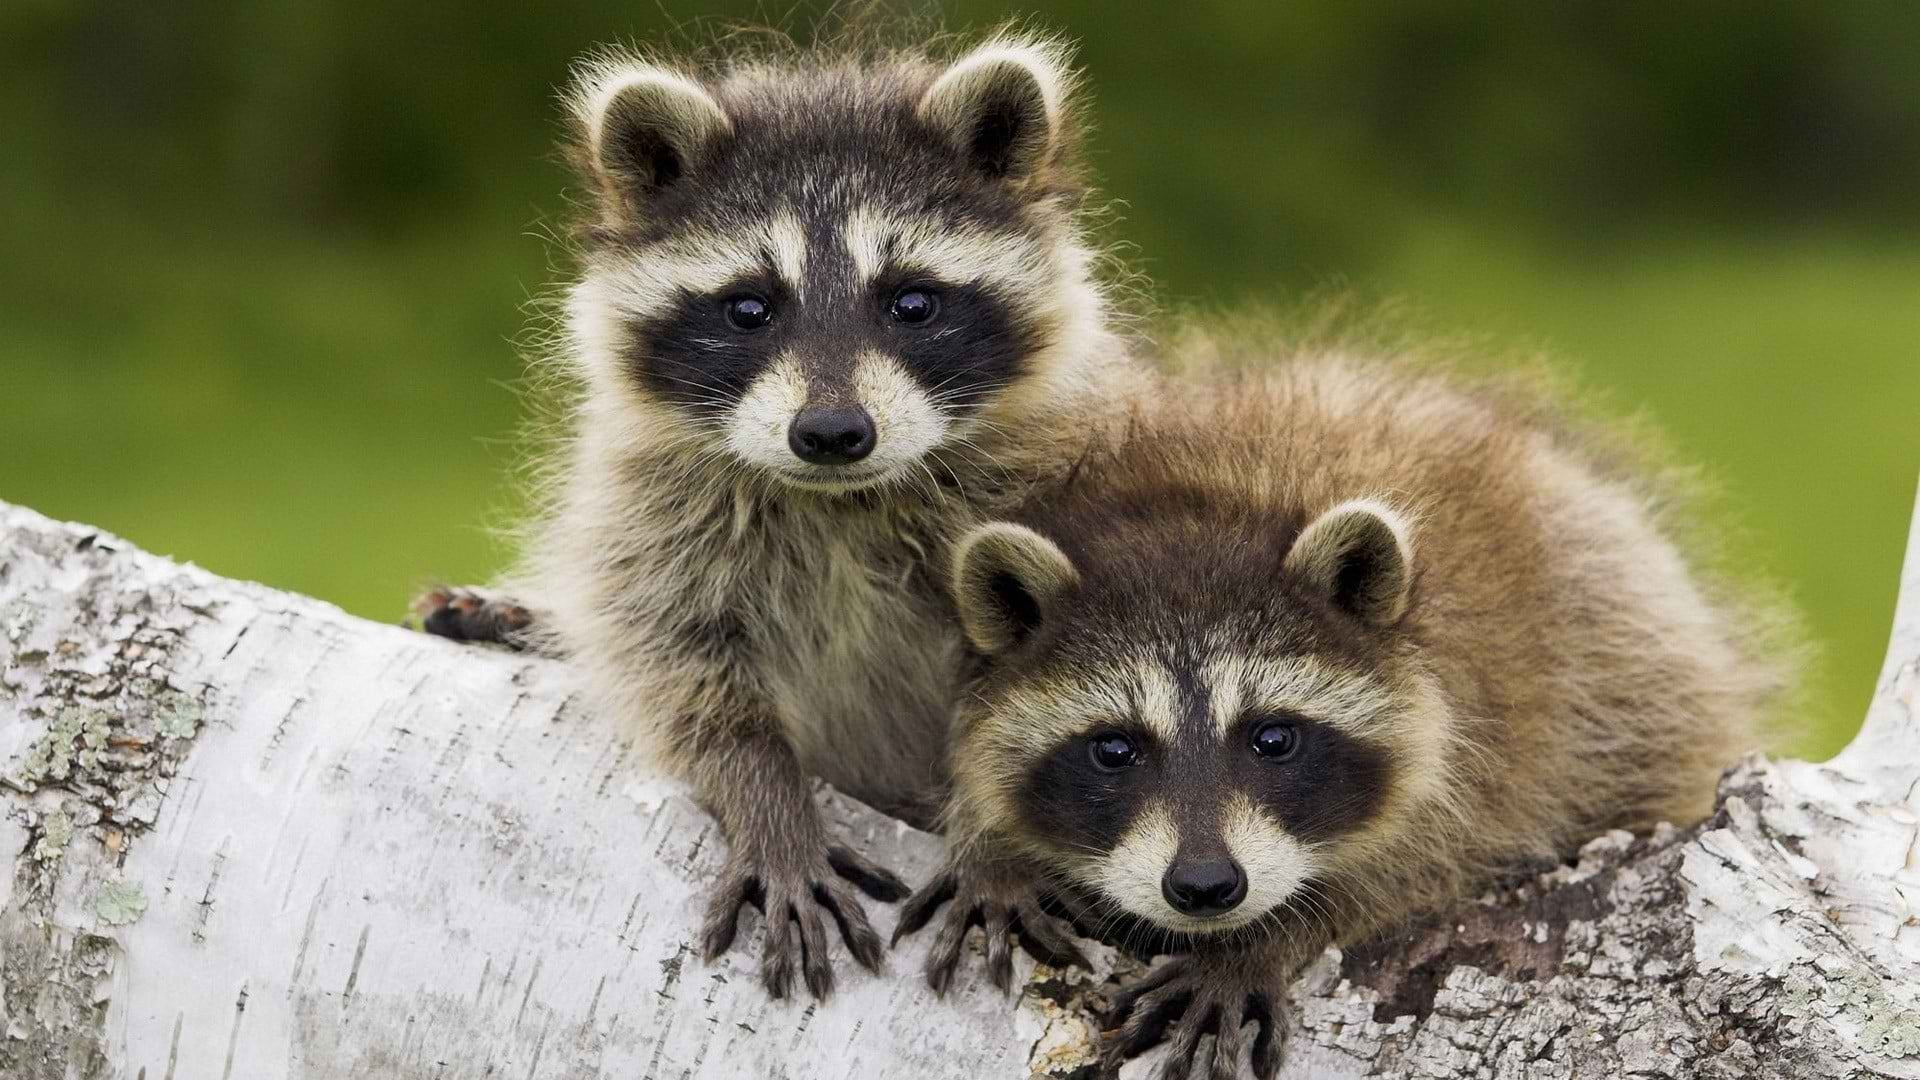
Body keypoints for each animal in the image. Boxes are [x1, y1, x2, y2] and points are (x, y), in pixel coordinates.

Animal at [415, 32, 1147, 999]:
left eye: (912, 302)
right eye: (749, 308)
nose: (832, 432)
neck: (839, 499)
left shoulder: (1062, 485)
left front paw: (993, 845)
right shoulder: (653, 509)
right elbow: (678, 666)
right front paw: (767, 800)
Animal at [896, 355, 1791, 1078]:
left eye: (1273, 737)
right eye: (1113, 749)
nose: (1206, 887)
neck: (1203, 502)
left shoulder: (1491, 731)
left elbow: (1426, 859)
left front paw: (1266, 938)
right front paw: (991, 845)